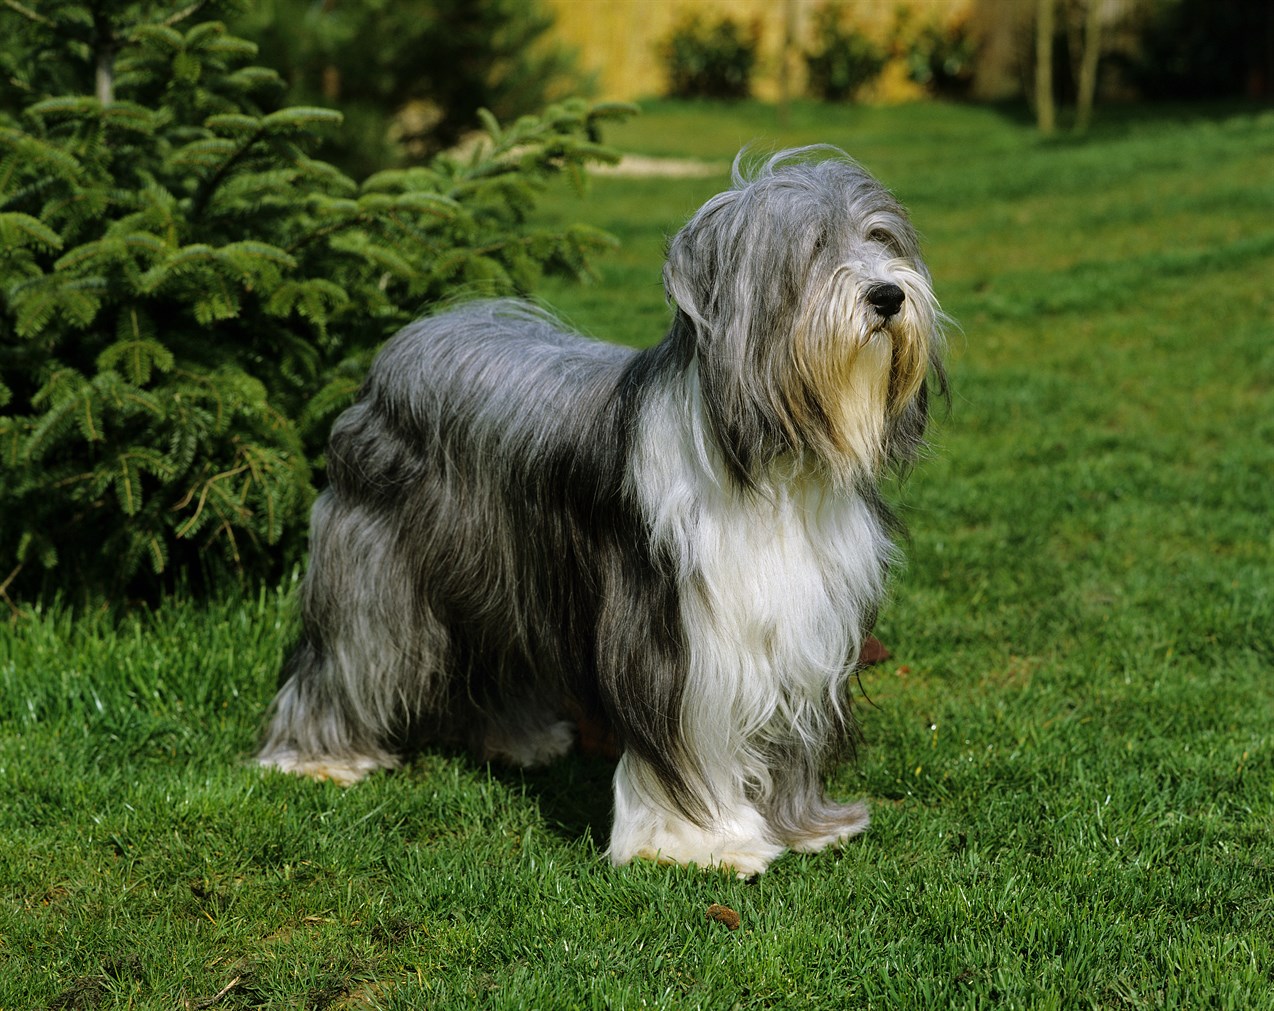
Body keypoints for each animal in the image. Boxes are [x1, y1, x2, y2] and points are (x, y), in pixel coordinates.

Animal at [258, 143, 947, 876]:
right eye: (815, 249)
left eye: (880, 239)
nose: (888, 295)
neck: (768, 458)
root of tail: (409, 339)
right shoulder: (674, 633)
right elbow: (685, 743)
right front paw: (699, 843)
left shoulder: (800, 624)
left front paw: (807, 826)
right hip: (377, 567)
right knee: (349, 654)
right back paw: (317, 757)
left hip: (502, 567)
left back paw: (519, 738)